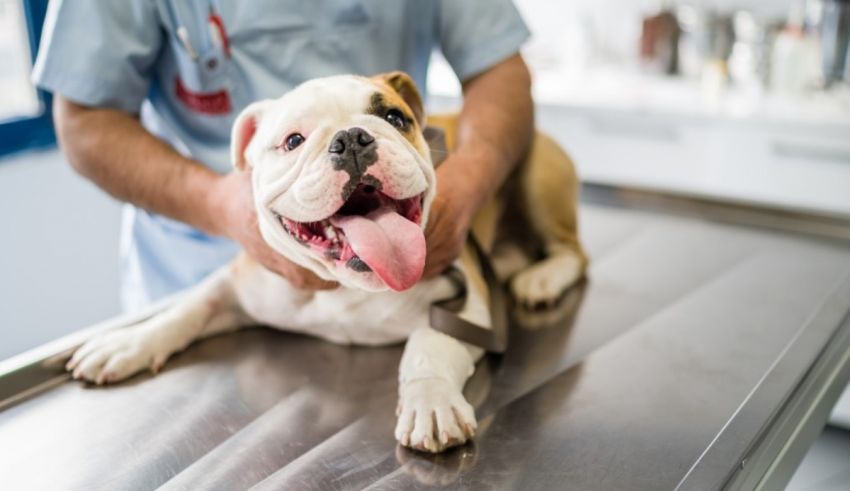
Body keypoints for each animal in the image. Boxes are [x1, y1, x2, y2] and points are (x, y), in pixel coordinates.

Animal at [66, 73, 588, 454]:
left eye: (394, 117)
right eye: (293, 140)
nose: (352, 138)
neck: (346, 285)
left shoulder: (466, 301)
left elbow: (428, 345)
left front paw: (430, 401)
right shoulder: (238, 284)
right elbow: (188, 309)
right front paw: (129, 341)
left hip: (537, 175)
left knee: (573, 252)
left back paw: (542, 279)